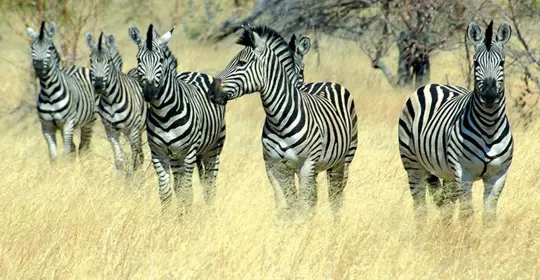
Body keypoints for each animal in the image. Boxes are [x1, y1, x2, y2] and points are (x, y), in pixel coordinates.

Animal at [26, 21, 98, 162]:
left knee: (84, 148)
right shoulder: (46, 127)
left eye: (49, 48)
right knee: (74, 148)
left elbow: (65, 153)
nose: (38, 68)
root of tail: (78, 67)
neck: (49, 91)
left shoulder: (68, 123)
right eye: (32, 48)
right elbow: (53, 156)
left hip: (89, 122)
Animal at [85, 32, 147, 175]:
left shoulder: (133, 129)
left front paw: (134, 179)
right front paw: (120, 179)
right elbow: (119, 161)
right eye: (91, 61)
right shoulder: (111, 131)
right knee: (141, 155)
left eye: (109, 61)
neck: (111, 100)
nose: (98, 86)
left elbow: (134, 159)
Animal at [129, 24, 226, 212]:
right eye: (138, 60)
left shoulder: (189, 152)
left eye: (160, 60)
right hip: (177, 157)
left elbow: (187, 193)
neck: (163, 114)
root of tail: (196, 73)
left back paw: (210, 212)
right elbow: (166, 193)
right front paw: (169, 218)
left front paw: (186, 218)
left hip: (214, 148)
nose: (149, 92)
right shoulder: (158, 153)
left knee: (210, 186)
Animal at [207, 25, 358, 220]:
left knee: (335, 197)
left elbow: (302, 205)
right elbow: (284, 206)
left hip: (343, 160)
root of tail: (327, 82)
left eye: (241, 63)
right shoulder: (273, 166)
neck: (279, 119)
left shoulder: (307, 164)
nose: (211, 92)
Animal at [398, 21, 512, 228]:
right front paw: (467, 237)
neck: (489, 127)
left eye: (502, 63)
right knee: (420, 206)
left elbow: (489, 215)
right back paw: (421, 234)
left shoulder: (498, 175)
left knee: (446, 206)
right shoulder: (463, 172)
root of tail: (435, 84)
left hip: (446, 173)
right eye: (476, 63)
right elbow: (467, 213)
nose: (490, 96)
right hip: (412, 164)